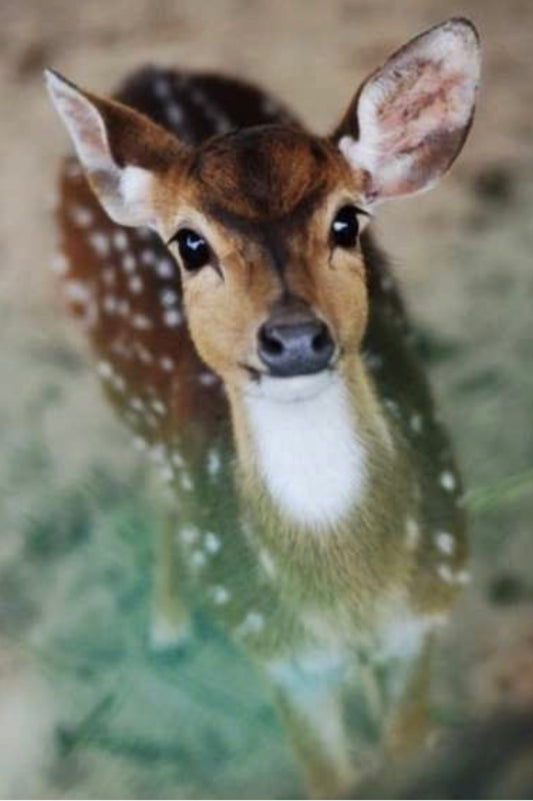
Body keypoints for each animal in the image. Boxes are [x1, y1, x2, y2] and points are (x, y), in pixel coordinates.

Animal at [45, 17, 480, 798]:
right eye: (190, 243)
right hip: (116, 384)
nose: (294, 337)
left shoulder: (425, 614)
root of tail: (149, 71)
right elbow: (327, 777)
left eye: (347, 222)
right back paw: (167, 624)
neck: (349, 592)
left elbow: (406, 751)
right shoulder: (277, 656)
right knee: (156, 481)